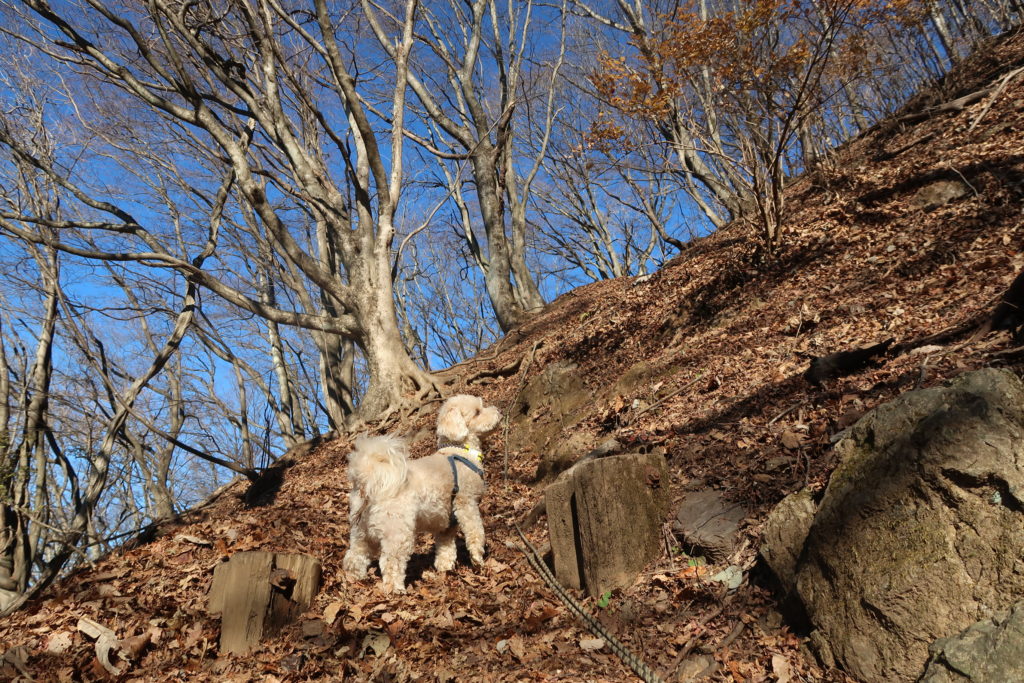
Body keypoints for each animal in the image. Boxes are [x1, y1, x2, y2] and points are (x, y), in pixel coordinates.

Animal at [342, 395, 502, 593]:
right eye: (478, 412)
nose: (498, 411)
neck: (460, 451)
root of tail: (368, 478)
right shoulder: (467, 504)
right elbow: (475, 533)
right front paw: (478, 560)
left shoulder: (447, 523)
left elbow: (446, 547)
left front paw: (445, 568)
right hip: (397, 531)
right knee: (390, 562)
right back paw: (396, 589)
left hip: (360, 530)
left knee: (354, 555)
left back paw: (353, 579)